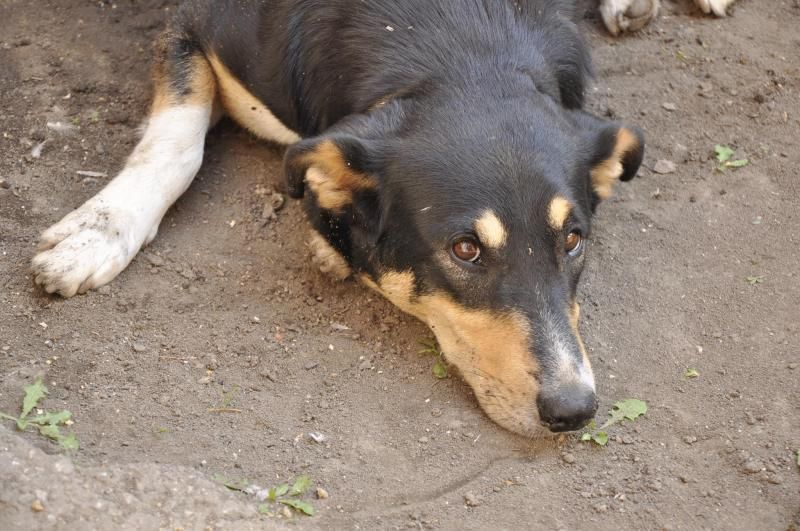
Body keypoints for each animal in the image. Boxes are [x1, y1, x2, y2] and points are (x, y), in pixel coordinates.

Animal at [28, 0, 660, 438]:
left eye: (573, 240)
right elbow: (177, 144)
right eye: (465, 249)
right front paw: (98, 231)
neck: (456, 46)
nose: (573, 410)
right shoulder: (196, 27)